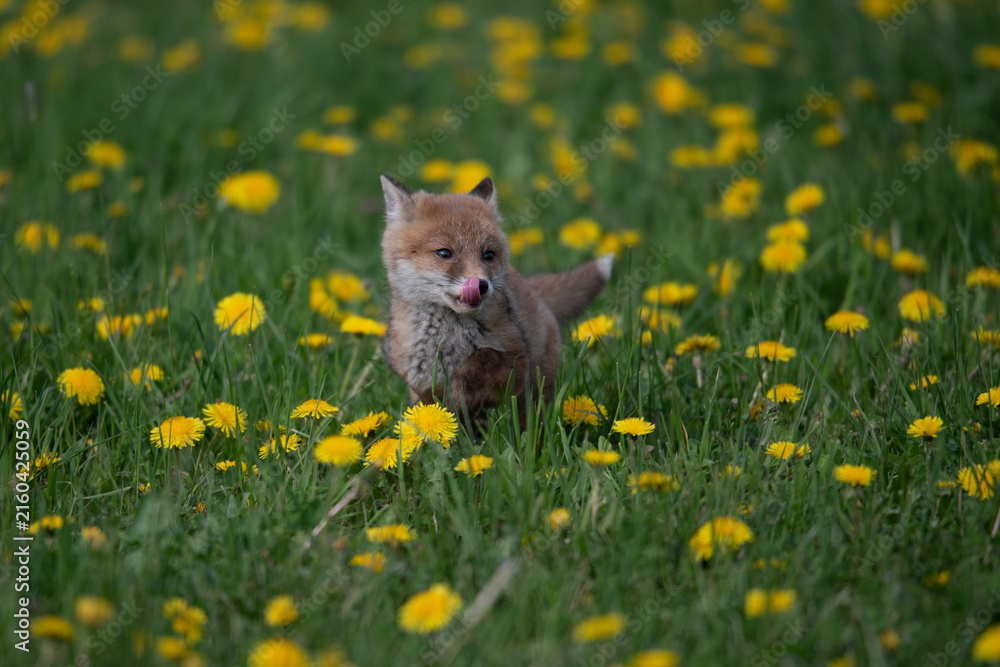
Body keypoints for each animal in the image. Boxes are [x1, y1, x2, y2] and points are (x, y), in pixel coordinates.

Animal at [379, 173, 612, 424]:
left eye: (488, 255)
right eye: (444, 253)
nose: (481, 286)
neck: (451, 342)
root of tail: (531, 290)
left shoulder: (518, 365)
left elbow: (484, 356)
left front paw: (459, 395)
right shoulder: (419, 385)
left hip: (534, 391)